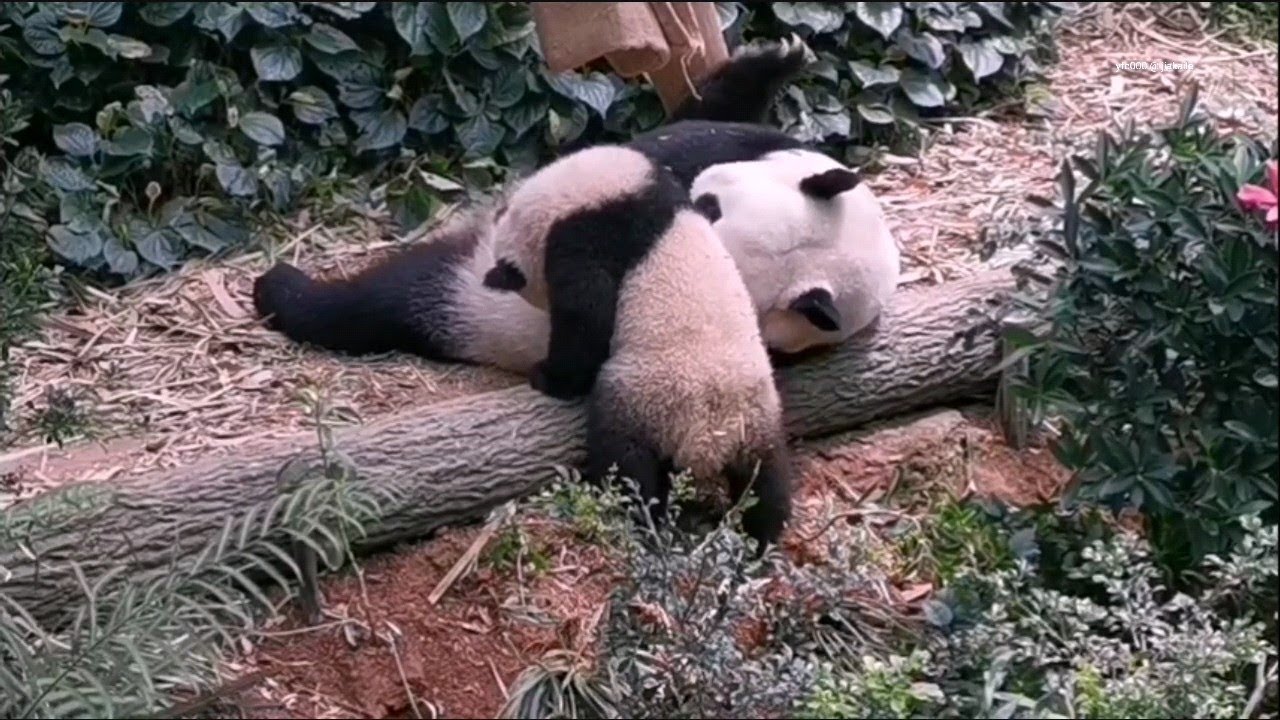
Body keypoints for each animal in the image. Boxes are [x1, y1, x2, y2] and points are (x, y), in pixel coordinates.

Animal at [479, 144, 792, 554]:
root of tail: (706, 440)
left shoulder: (585, 240)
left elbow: (587, 319)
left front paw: (547, 377)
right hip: (755, 420)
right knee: (767, 481)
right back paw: (761, 540)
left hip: (647, 399)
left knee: (626, 461)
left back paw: (642, 519)